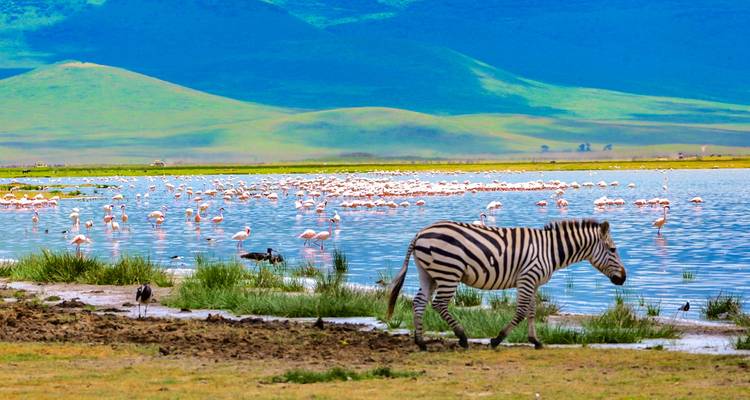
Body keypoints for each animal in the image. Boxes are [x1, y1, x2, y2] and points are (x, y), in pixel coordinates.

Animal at [386, 219, 626, 350]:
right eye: (613, 250)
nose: (623, 278)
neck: (549, 250)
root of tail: (420, 233)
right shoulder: (527, 277)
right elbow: (520, 311)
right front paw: (497, 339)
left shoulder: (534, 282)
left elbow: (532, 311)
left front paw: (535, 341)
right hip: (449, 271)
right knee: (439, 304)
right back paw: (462, 337)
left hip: (428, 273)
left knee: (419, 302)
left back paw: (421, 342)